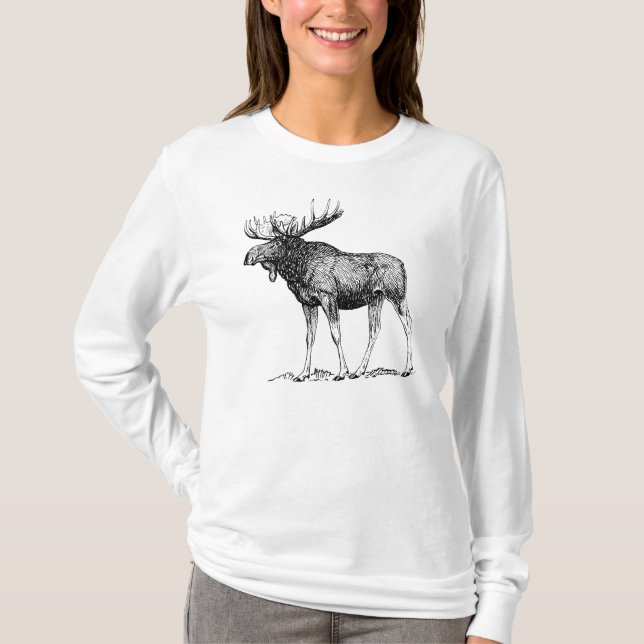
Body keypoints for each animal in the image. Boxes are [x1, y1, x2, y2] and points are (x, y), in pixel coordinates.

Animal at [243, 198, 413, 381]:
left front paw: (342, 372)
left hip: (397, 295)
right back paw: (359, 370)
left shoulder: (328, 297)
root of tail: (403, 265)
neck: (299, 271)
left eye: (277, 242)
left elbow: (336, 334)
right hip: (376, 298)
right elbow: (309, 337)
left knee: (408, 325)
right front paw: (303, 374)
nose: (249, 256)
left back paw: (407, 369)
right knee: (375, 329)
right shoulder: (308, 303)